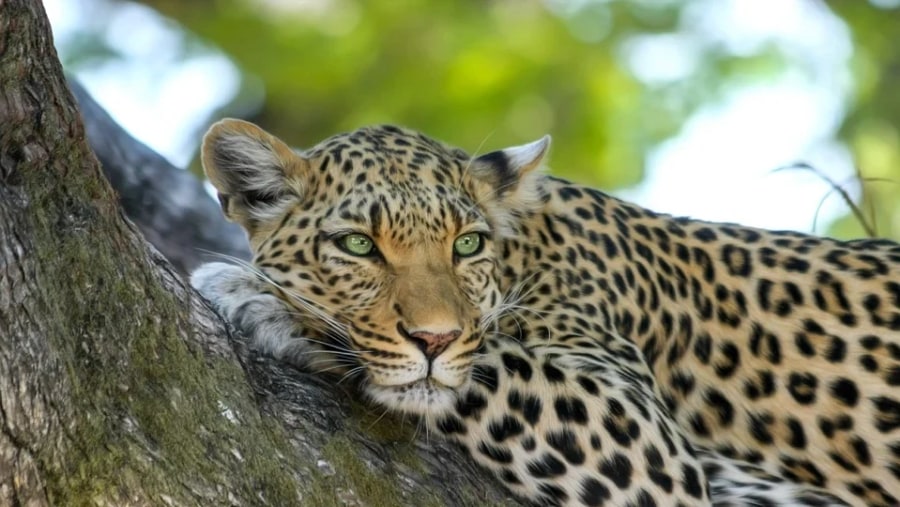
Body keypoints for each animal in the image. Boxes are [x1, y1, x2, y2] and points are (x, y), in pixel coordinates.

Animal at [192, 117, 900, 506]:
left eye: (467, 244)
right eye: (358, 245)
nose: (434, 339)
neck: (526, 251)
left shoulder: (645, 442)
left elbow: (491, 363)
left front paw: (261, 298)